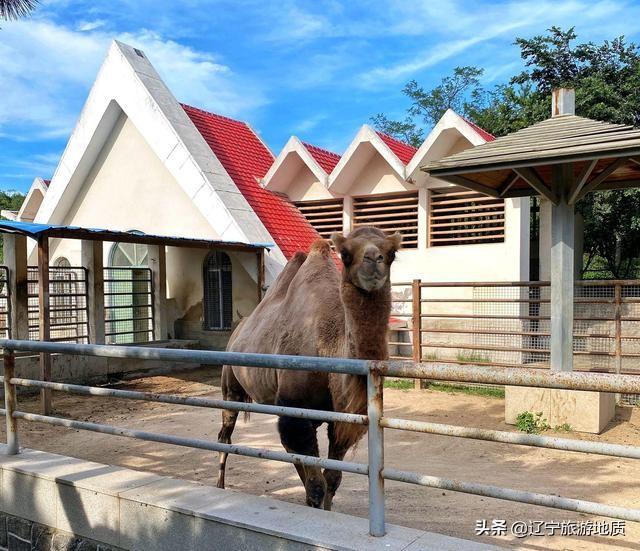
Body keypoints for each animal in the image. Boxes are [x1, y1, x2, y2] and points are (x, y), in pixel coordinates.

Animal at [218, 227, 402, 508]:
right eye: (345, 254)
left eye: (392, 253)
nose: (373, 260)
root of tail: (237, 329)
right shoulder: (295, 410)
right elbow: (317, 485)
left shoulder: (338, 421)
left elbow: (332, 480)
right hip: (231, 386)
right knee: (225, 435)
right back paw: (219, 485)